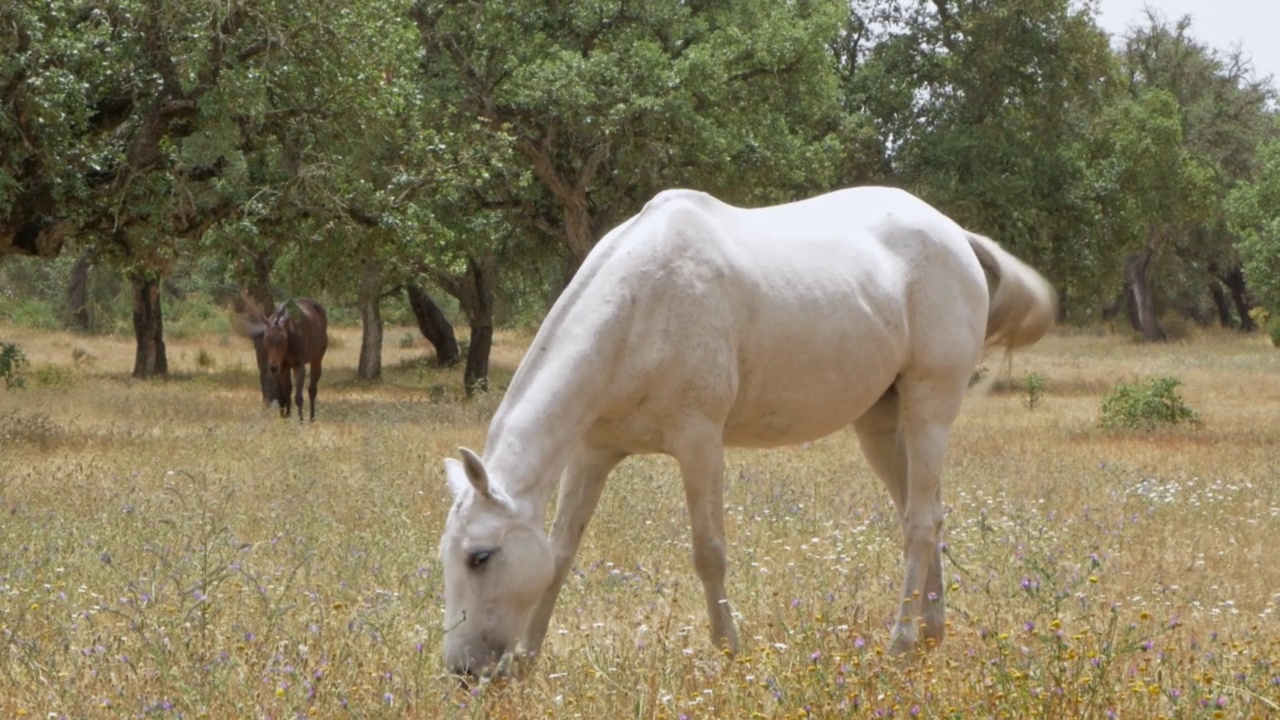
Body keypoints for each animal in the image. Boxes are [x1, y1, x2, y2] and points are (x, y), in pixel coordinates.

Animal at [435, 183, 1054, 671]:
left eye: (480, 557)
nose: (463, 671)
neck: (642, 306)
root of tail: (955, 236)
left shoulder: (699, 443)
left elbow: (709, 551)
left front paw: (730, 652)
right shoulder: (593, 452)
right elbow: (561, 553)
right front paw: (527, 661)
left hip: (930, 406)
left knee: (920, 524)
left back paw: (899, 644)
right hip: (880, 423)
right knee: (925, 513)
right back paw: (931, 634)